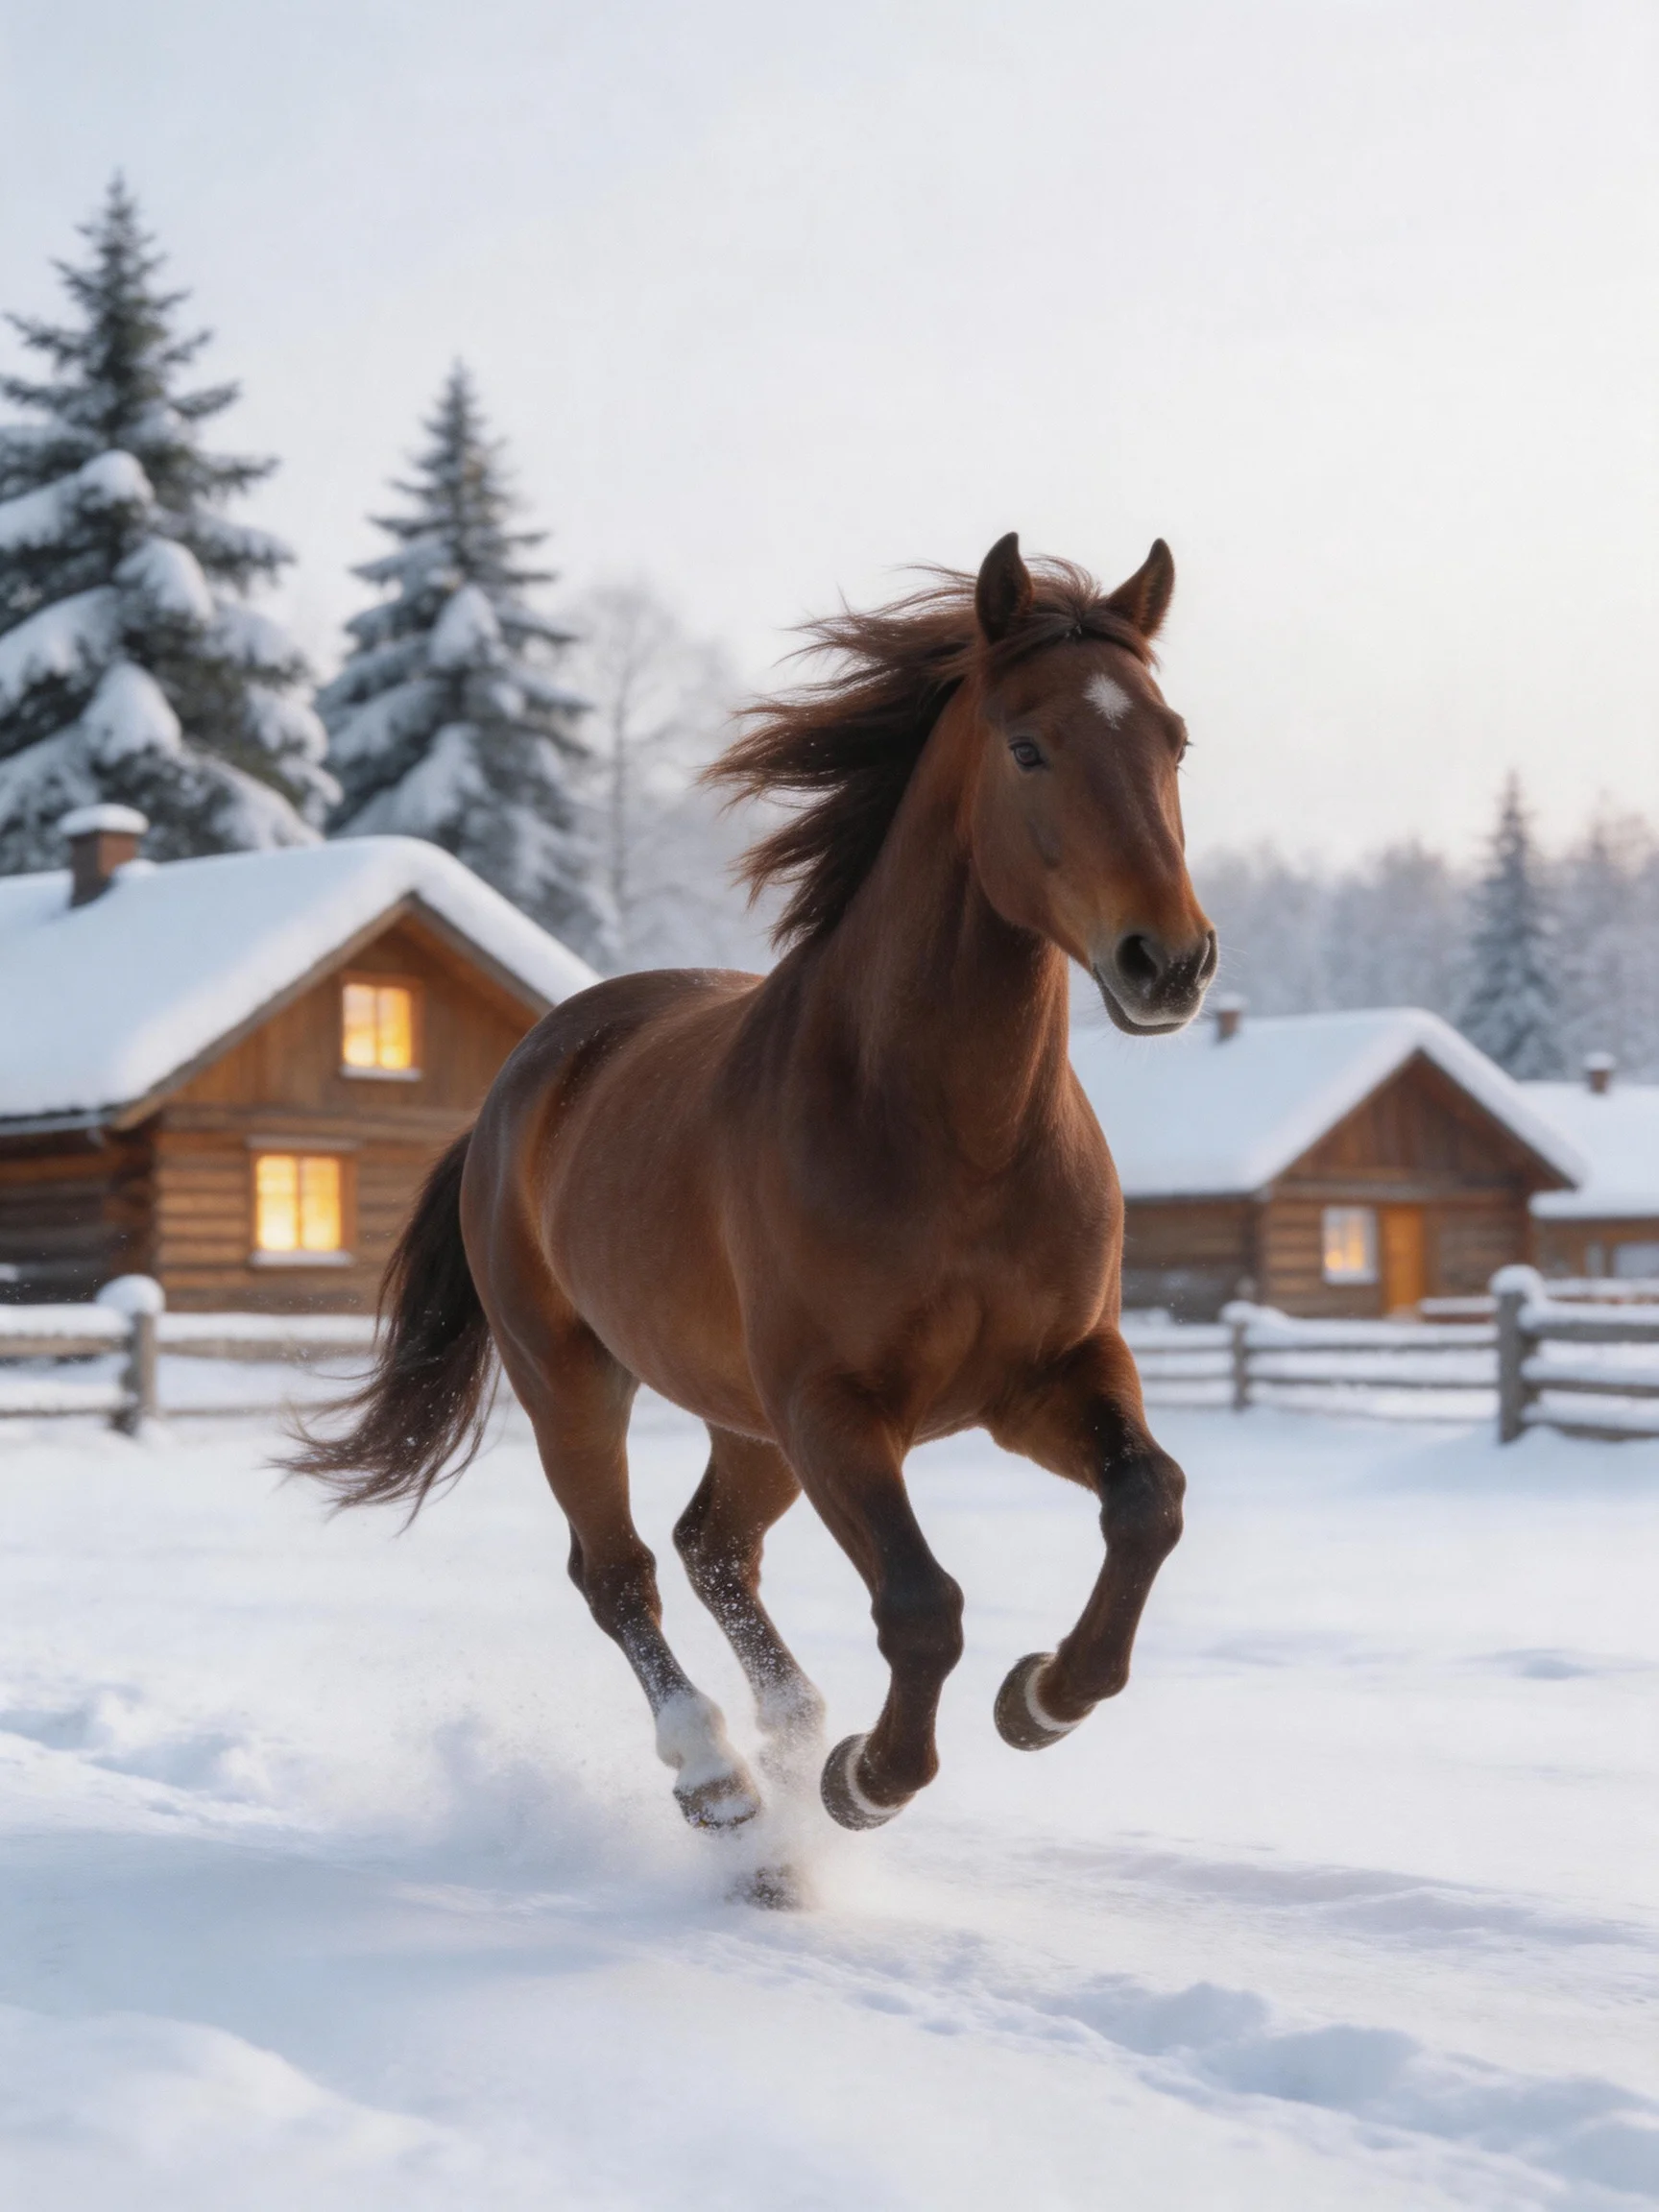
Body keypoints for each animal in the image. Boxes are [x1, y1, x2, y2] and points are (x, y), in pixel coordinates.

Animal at [288, 531, 1217, 1855]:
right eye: (1029, 746)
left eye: (1173, 740)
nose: (1169, 962)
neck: (958, 1141)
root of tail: (527, 1073)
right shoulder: (835, 1405)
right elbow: (922, 1603)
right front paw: (865, 1779)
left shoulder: (1051, 1374)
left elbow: (1149, 1502)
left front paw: (1041, 1696)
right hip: (573, 1377)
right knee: (618, 1570)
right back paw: (720, 1774)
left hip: (744, 1417)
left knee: (710, 1546)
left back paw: (784, 1730)